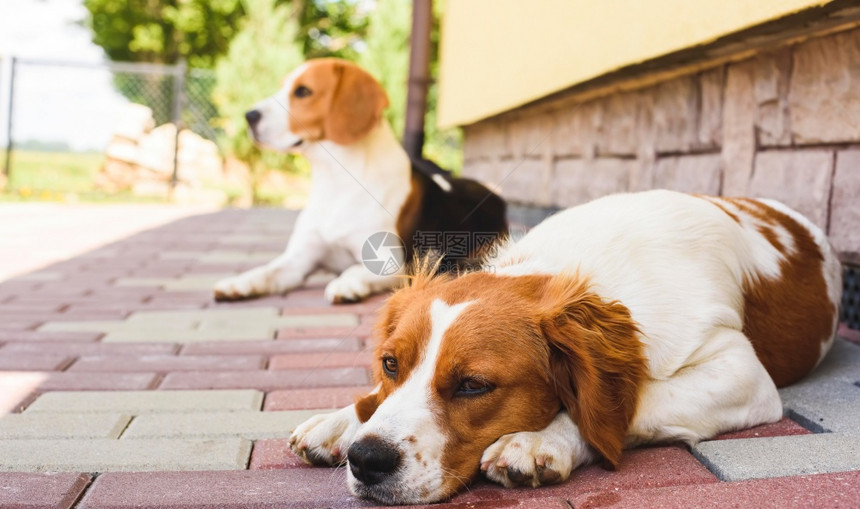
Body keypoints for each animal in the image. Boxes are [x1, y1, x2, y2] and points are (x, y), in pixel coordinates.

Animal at [213, 59, 504, 302]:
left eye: (303, 92)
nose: (249, 116)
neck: (336, 181)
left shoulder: (391, 263)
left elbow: (355, 269)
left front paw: (346, 283)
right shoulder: (297, 261)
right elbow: (267, 270)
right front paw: (238, 282)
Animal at [288, 190, 840, 504]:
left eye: (473, 385)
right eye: (389, 364)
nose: (367, 459)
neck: (579, 268)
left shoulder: (742, 372)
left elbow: (629, 404)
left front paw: (541, 439)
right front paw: (342, 418)